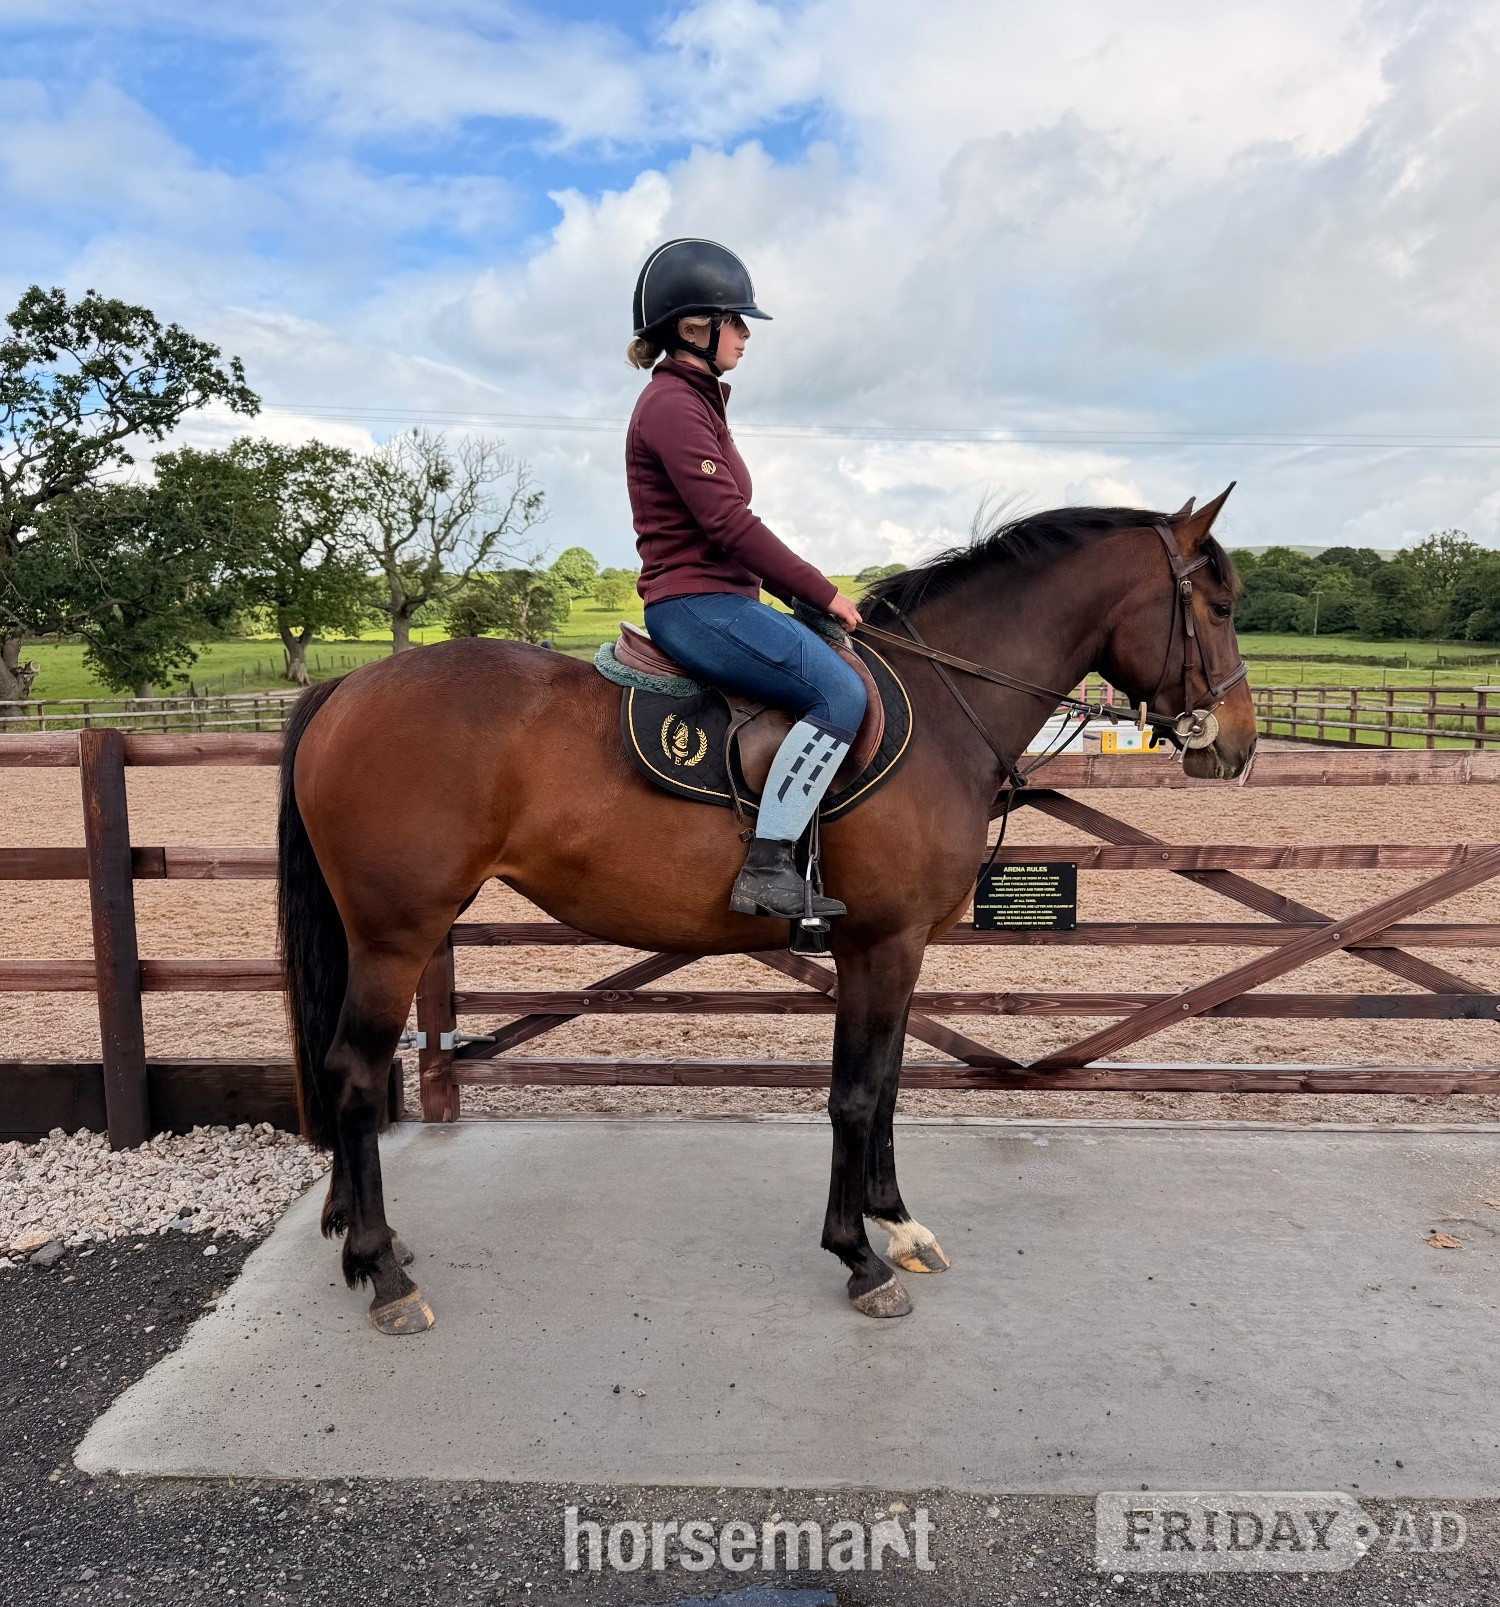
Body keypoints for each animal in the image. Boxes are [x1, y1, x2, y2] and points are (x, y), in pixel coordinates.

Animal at [276, 488, 1256, 1332]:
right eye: (1217, 605)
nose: (1240, 745)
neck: (944, 707)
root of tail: (349, 687)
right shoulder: (880, 945)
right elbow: (855, 1094)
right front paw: (858, 1257)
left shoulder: (898, 950)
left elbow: (888, 1084)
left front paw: (897, 1224)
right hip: (396, 936)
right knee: (355, 1075)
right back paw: (384, 1272)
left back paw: (369, 1241)